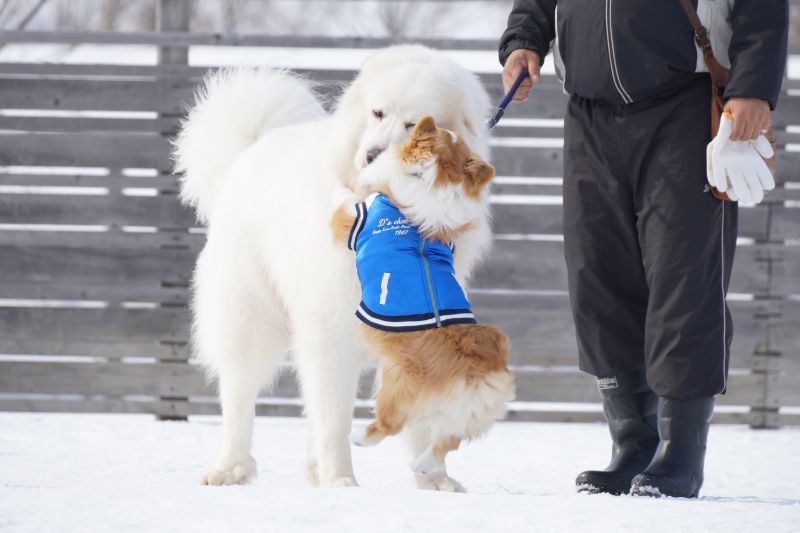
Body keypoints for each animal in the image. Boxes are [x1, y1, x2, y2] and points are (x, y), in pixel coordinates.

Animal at [175, 46, 494, 490]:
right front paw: (342, 480)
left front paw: (434, 480)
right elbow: (334, 418)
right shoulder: (331, 329)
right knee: (240, 396)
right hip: (250, 318)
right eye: (377, 112)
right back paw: (231, 469)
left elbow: (420, 418)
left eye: (413, 124)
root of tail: (253, 146)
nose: (371, 155)